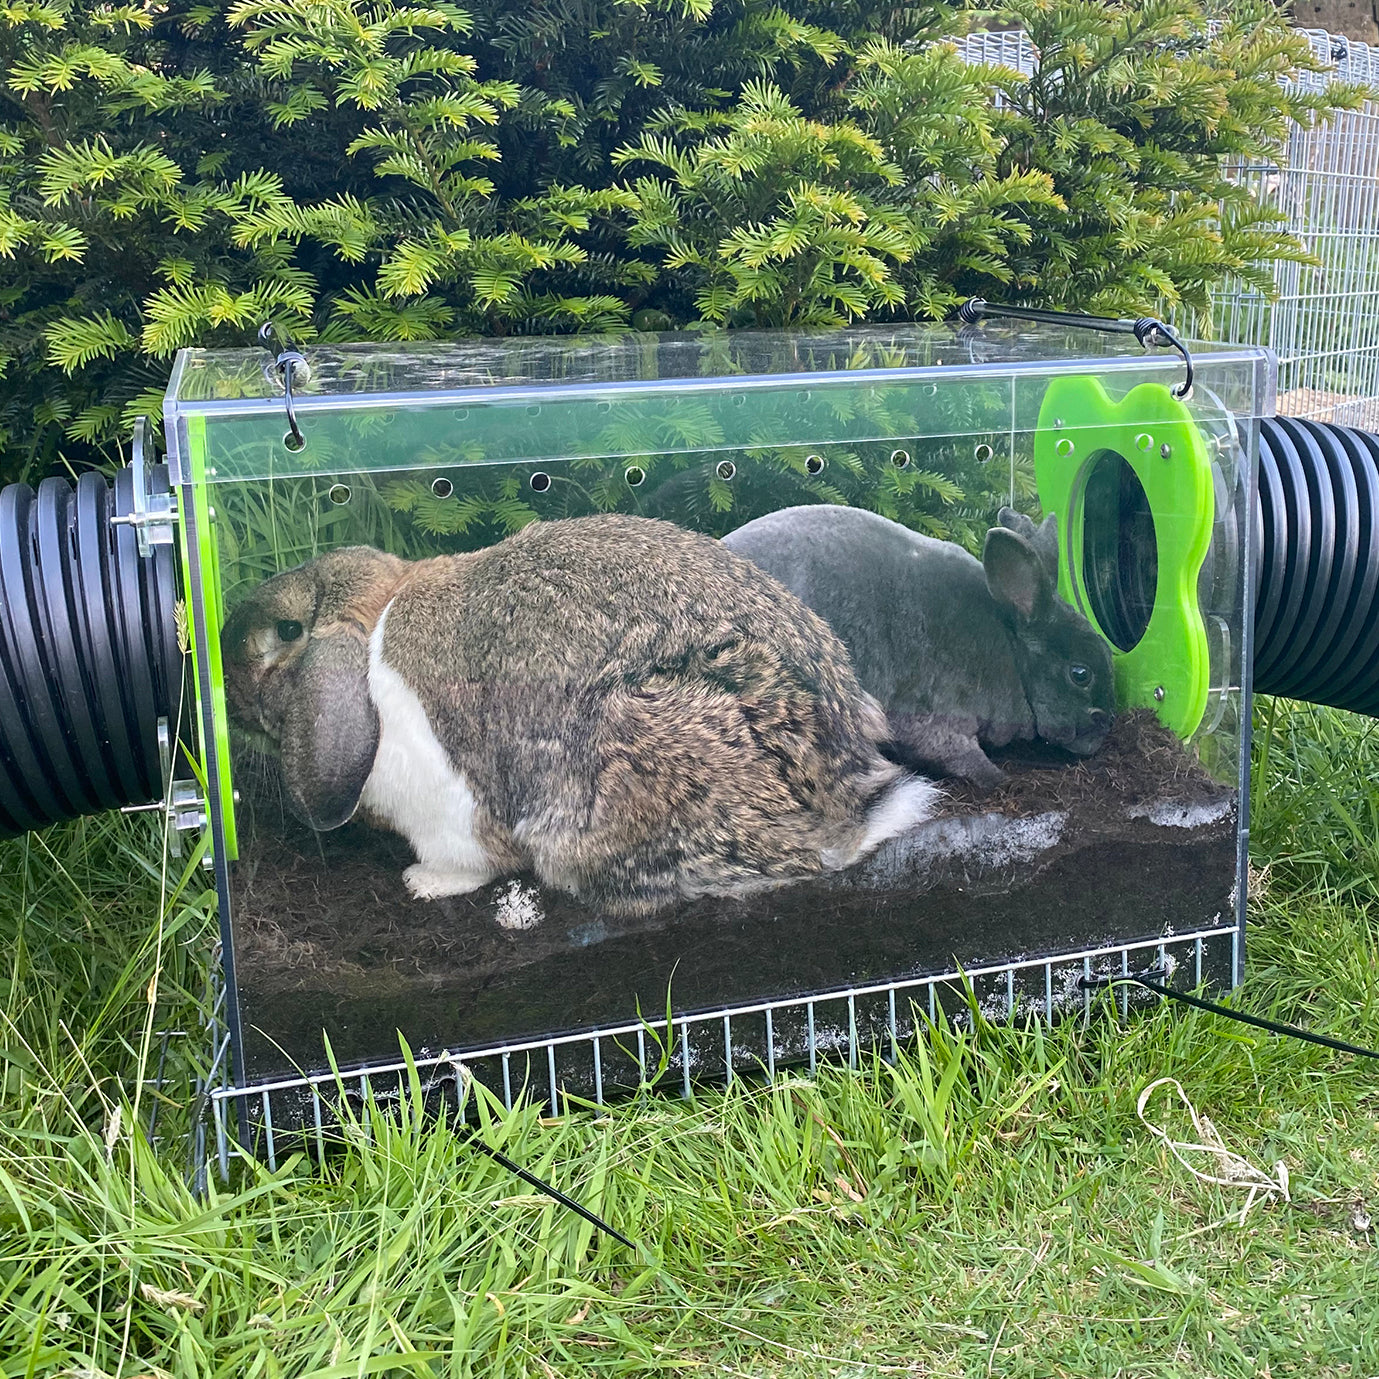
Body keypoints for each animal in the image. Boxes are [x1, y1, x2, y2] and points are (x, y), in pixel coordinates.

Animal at [223, 515, 937, 915]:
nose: (224, 694)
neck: (375, 626)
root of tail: (843, 814)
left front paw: (420, 883)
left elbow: (467, 859)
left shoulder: (452, 807)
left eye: (288, 630)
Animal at [728, 507, 1114, 788]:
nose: (1103, 732)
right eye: (1081, 674)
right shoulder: (940, 721)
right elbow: (963, 758)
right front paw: (1001, 780)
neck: (1012, 654)